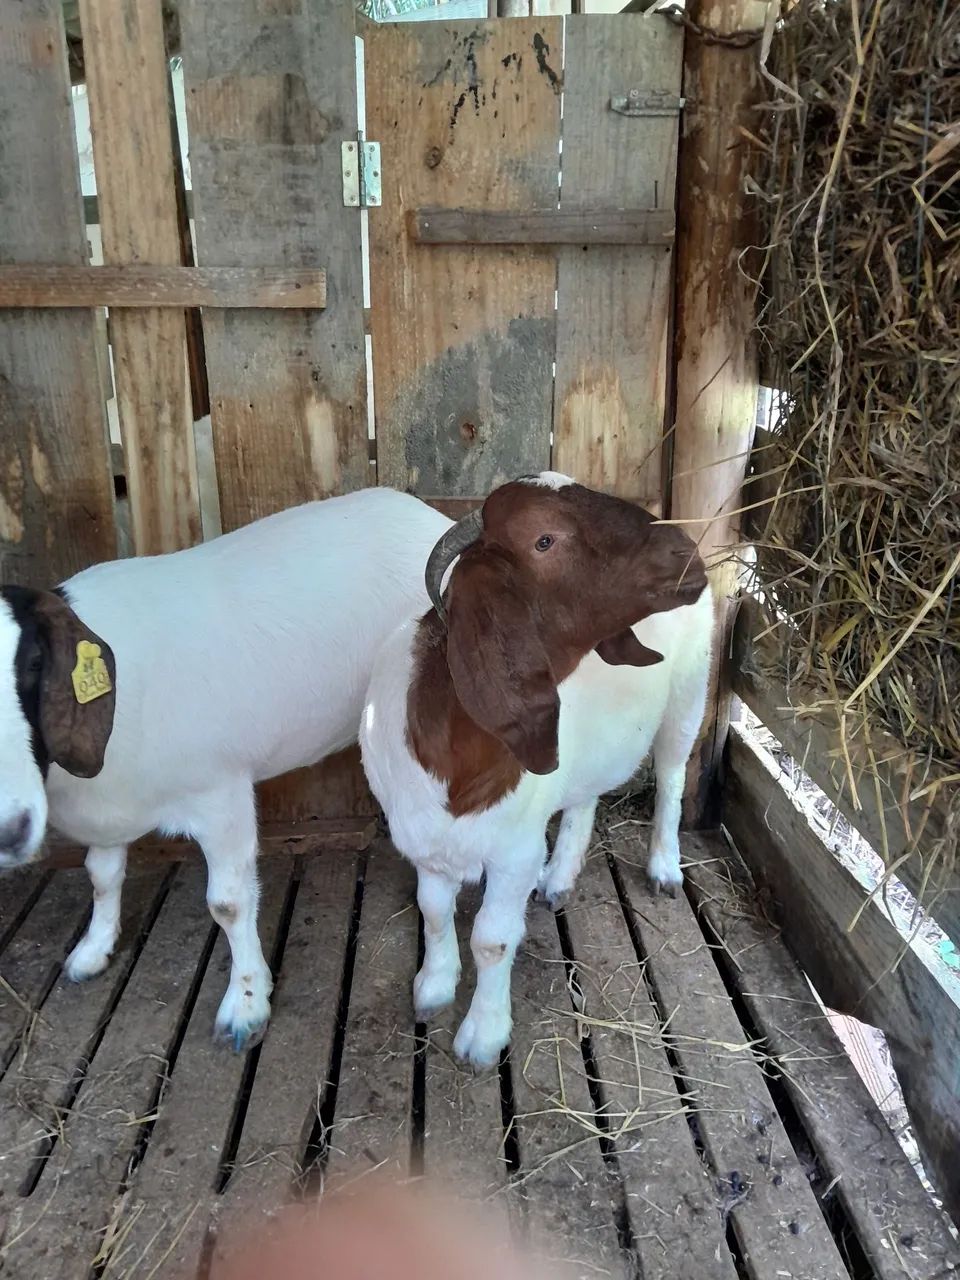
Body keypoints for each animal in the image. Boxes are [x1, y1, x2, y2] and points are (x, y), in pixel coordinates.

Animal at [0, 488, 450, 1049]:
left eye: (34, 663)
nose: (9, 830)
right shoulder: (109, 807)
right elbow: (101, 876)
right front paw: (92, 951)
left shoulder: (219, 796)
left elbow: (228, 904)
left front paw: (246, 1006)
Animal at [360, 473, 713, 1069]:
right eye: (544, 540)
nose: (686, 553)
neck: (460, 768)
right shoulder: (422, 844)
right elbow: (433, 911)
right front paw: (433, 986)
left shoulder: (515, 852)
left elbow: (491, 938)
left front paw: (482, 1035)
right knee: (584, 795)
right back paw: (561, 875)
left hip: (691, 689)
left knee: (671, 776)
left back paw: (664, 866)